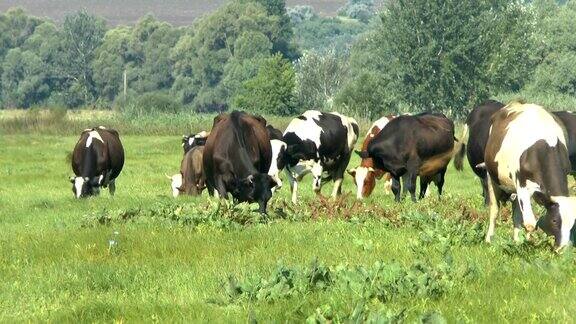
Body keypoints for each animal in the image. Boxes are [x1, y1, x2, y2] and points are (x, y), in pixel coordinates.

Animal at [482, 102, 576, 251]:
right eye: (555, 220)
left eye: (572, 223)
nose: (562, 248)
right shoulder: (522, 185)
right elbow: (531, 223)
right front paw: (528, 244)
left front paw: (523, 241)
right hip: (493, 177)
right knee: (494, 210)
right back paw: (489, 239)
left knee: (516, 213)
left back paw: (516, 240)